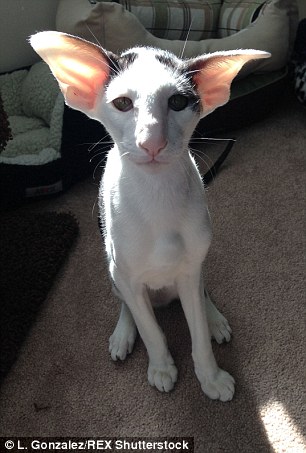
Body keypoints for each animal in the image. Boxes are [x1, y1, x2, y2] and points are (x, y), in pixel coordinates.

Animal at [31, 31, 268, 400]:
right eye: (123, 104)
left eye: (178, 102)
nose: (151, 142)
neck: (157, 194)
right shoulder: (126, 273)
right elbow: (150, 329)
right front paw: (161, 367)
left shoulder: (189, 269)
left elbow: (198, 330)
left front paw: (211, 376)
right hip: (113, 268)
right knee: (128, 302)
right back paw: (123, 333)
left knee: (201, 289)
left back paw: (213, 318)